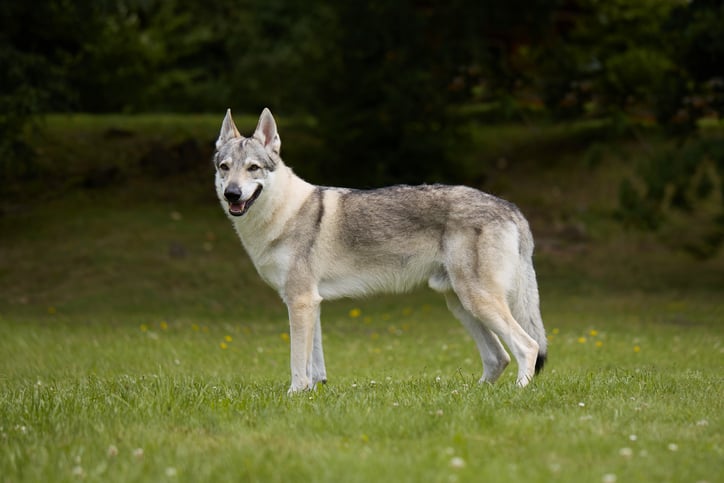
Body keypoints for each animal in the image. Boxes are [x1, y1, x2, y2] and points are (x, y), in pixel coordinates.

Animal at [214, 108, 547, 393]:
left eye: (253, 168)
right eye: (224, 168)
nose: (232, 193)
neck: (282, 213)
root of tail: (511, 207)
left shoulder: (300, 301)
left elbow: (298, 363)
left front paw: (294, 395)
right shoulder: (311, 302)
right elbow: (314, 366)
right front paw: (313, 394)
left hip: (477, 300)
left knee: (527, 346)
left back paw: (518, 391)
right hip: (461, 304)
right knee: (498, 358)